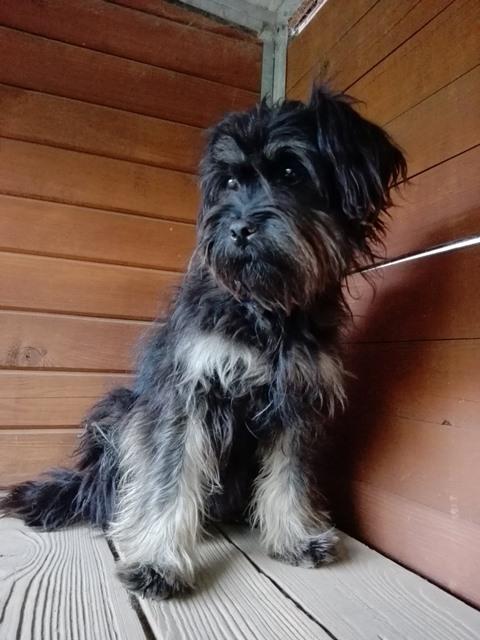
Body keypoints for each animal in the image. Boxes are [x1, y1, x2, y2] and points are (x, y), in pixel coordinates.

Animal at [1, 86, 406, 599]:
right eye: (231, 181)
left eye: (291, 172)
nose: (238, 230)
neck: (266, 309)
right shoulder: (188, 393)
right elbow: (170, 481)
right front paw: (158, 559)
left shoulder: (295, 401)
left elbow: (289, 477)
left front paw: (295, 535)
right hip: (122, 413)